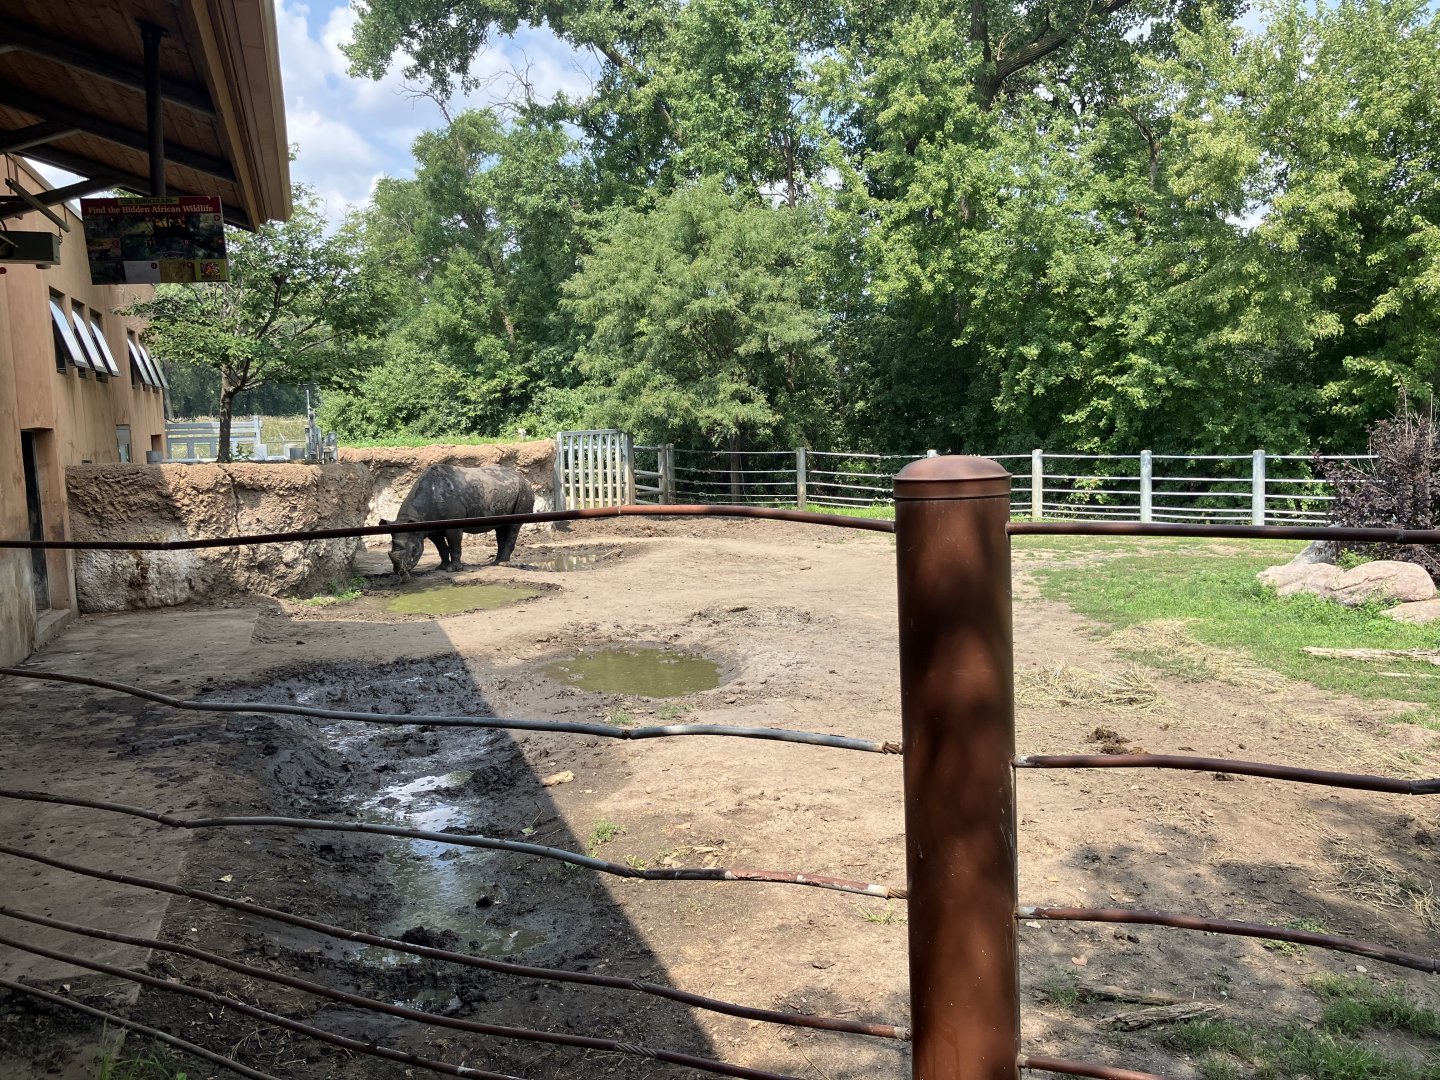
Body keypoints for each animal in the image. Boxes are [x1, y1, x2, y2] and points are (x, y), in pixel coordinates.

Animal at [380, 464, 535, 576]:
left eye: (414, 550)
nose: (399, 572)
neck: (417, 516)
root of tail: (522, 477)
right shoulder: (430, 528)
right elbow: (441, 547)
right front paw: (441, 567)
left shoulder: (452, 524)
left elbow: (454, 544)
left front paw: (452, 569)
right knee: (501, 527)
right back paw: (496, 562)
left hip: (524, 490)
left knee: (514, 526)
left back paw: (502, 563)